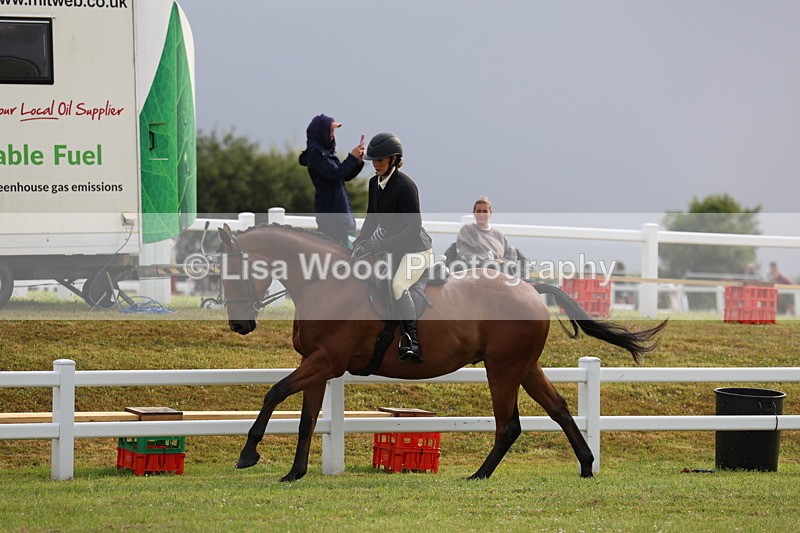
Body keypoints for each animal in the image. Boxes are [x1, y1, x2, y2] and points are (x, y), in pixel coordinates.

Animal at [217, 223, 667, 481]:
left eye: (234, 271)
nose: (240, 325)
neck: (326, 284)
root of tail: (528, 288)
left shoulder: (326, 361)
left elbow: (274, 392)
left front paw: (247, 454)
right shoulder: (317, 363)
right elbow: (308, 419)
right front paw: (294, 473)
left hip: (502, 369)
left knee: (509, 425)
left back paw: (479, 475)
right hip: (524, 366)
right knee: (557, 408)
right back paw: (587, 466)